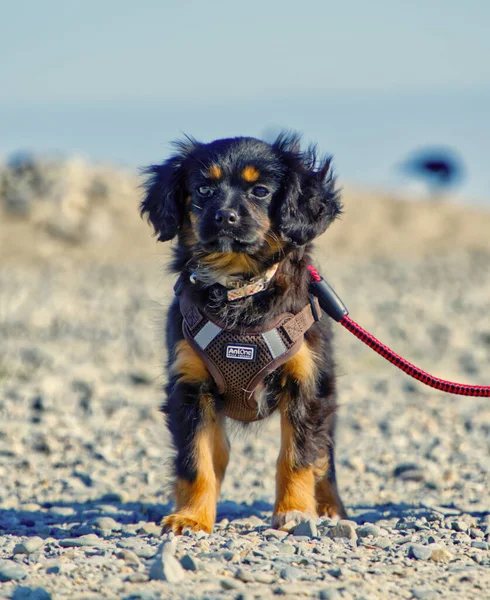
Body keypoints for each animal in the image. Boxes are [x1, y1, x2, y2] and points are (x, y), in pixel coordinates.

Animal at [142, 135, 346, 536]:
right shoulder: (190, 387)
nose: (224, 216)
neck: (239, 286)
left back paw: (331, 508)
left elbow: (297, 456)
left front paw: (295, 511)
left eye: (260, 191)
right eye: (202, 189)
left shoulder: (305, 384)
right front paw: (192, 516)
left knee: (324, 455)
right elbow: (197, 460)